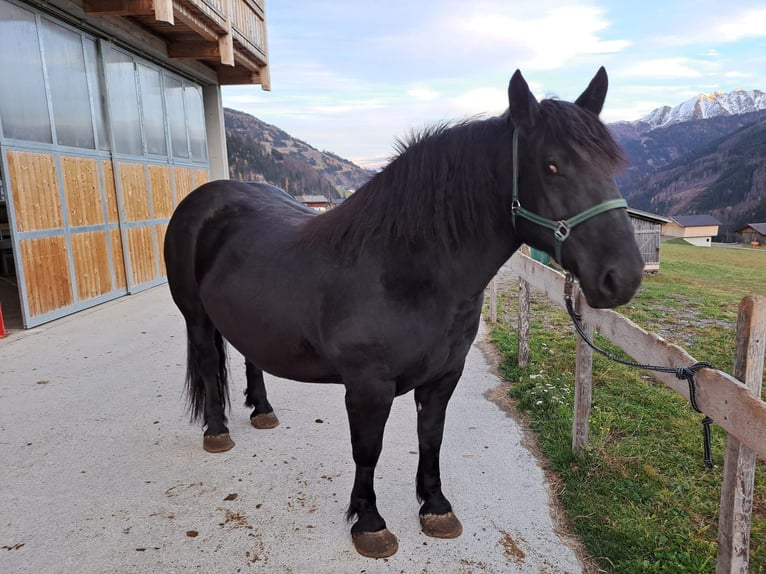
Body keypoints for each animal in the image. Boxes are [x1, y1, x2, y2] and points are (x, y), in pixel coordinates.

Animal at [165, 66, 644, 560]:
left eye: (612, 166)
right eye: (551, 165)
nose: (623, 276)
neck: (401, 268)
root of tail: (206, 198)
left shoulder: (444, 375)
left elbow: (430, 437)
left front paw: (435, 508)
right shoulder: (367, 386)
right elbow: (367, 450)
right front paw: (369, 522)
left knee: (249, 354)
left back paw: (261, 409)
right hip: (196, 318)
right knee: (208, 363)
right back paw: (217, 431)